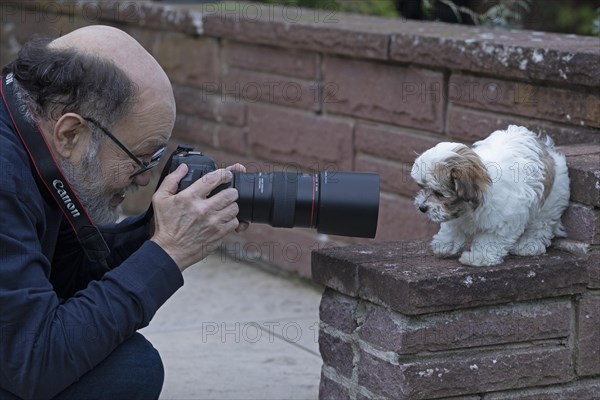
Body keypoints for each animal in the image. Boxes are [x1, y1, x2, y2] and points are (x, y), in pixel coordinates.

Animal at [410, 126, 568, 266]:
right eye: (422, 187)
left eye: (439, 194)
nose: (422, 207)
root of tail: (547, 149)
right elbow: (452, 228)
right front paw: (443, 245)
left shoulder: (503, 221)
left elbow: (490, 240)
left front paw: (477, 258)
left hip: (550, 201)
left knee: (541, 225)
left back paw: (529, 245)